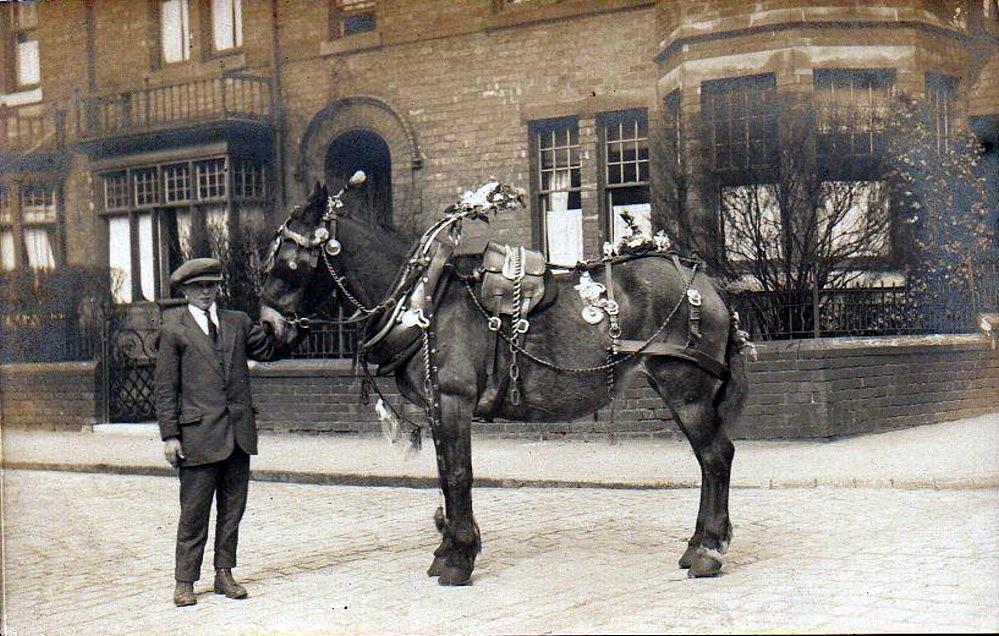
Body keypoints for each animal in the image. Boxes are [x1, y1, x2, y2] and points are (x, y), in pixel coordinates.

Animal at [258, 174, 752, 588]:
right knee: (710, 460)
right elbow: (444, 473)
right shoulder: (437, 406)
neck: (425, 299)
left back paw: (708, 550)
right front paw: (449, 549)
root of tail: (705, 280)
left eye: (286, 260)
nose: (264, 330)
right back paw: (697, 546)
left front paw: (458, 559)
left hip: (685, 388)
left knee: (715, 457)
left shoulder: (453, 398)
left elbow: (459, 473)